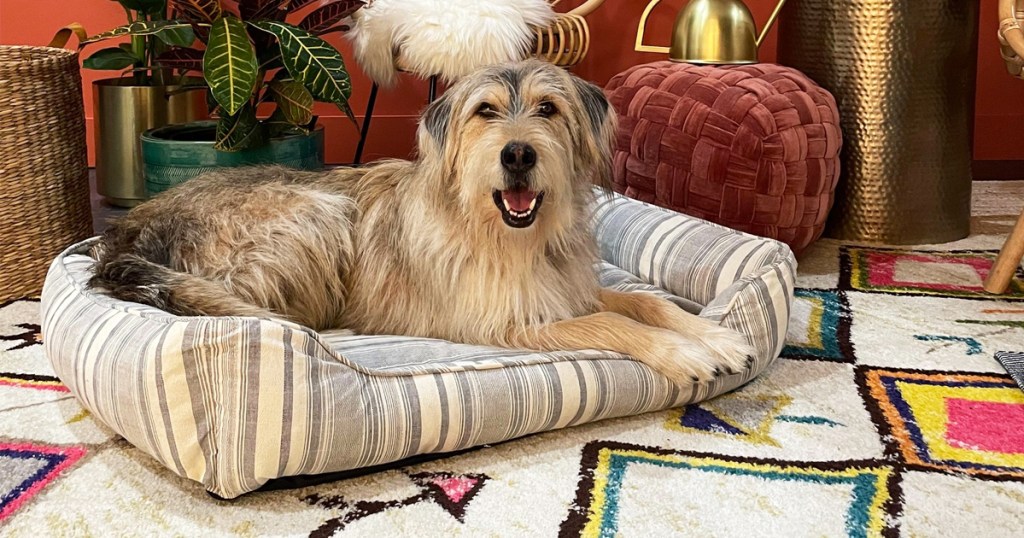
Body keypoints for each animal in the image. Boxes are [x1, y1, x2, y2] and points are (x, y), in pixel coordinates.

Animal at [90, 59, 753, 381]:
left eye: (548, 108)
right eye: (485, 112)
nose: (518, 154)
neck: (510, 236)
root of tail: (124, 234)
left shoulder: (565, 290)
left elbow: (644, 302)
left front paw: (715, 336)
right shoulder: (507, 323)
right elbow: (611, 325)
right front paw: (685, 354)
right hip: (317, 215)